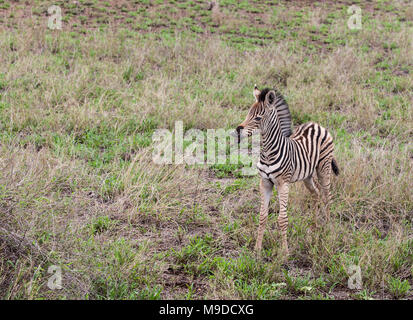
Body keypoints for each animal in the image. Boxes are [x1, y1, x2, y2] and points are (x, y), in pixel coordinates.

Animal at [235, 85, 338, 255]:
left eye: (258, 118)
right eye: (248, 113)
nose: (238, 130)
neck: (268, 152)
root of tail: (316, 125)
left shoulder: (283, 183)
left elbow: (282, 219)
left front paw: (285, 252)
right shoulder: (265, 183)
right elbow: (262, 216)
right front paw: (257, 250)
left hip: (324, 167)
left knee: (327, 196)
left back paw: (328, 228)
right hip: (307, 175)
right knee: (315, 193)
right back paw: (314, 226)